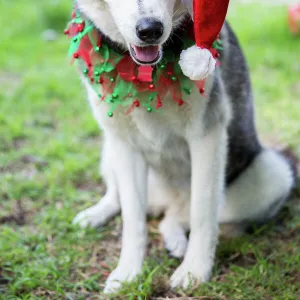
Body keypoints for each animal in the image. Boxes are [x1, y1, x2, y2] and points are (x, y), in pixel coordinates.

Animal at [69, 0, 294, 294]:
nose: (150, 30)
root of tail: (165, 200)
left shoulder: (207, 134)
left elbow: (202, 213)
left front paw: (194, 270)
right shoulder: (124, 142)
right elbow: (133, 219)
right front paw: (128, 273)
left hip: (273, 173)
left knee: (181, 215)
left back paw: (176, 241)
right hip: (109, 148)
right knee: (122, 198)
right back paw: (96, 214)